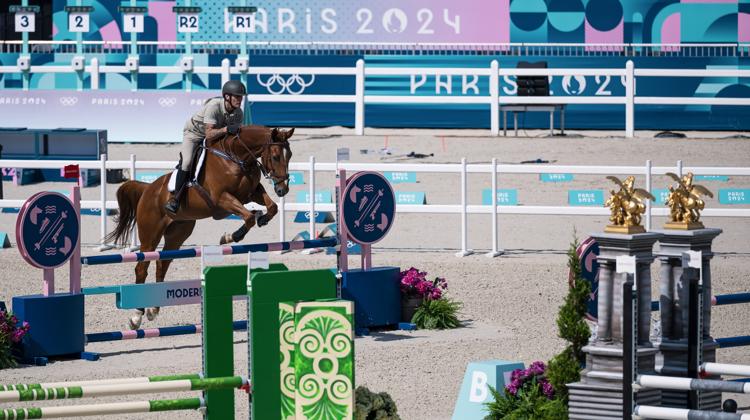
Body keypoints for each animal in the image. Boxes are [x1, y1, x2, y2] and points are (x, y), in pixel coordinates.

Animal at [106, 124, 294, 328]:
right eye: (275, 156)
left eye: (290, 155)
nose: (283, 189)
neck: (237, 157)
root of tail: (147, 189)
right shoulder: (222, 198)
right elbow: (248, 217)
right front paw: (230, 237)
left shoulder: (251, 193)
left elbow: (272, 207)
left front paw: (262, 218)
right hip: (150, 235)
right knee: (142, 267)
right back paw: (136, 317)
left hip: (178, 234)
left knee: (162, 264)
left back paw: (153, 310)